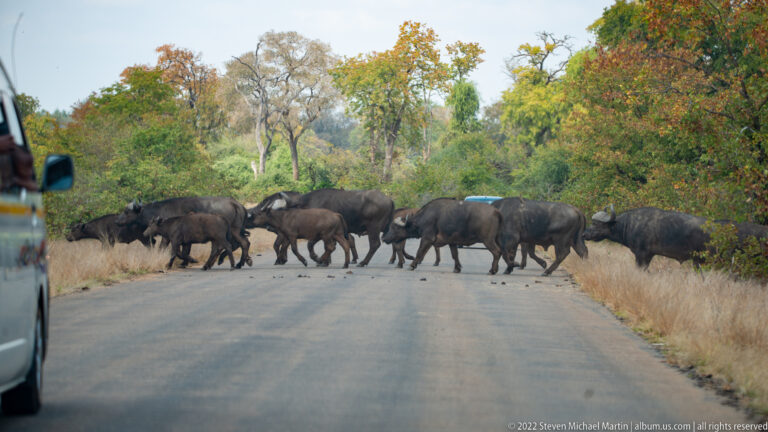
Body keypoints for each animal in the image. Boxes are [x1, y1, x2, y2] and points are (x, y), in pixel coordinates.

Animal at [381, 198, 510, 274]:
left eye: (395, 227)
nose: (384, 238)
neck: (426, 216)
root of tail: (496, 211)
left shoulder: (427, 238)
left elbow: (419, 252)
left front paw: (412, 265)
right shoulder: (452, 242)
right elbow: (455, 255)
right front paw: (457, 268)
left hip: (488, 240)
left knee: (497, 252)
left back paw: (492, 270)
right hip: (497, 239)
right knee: (503, 251)